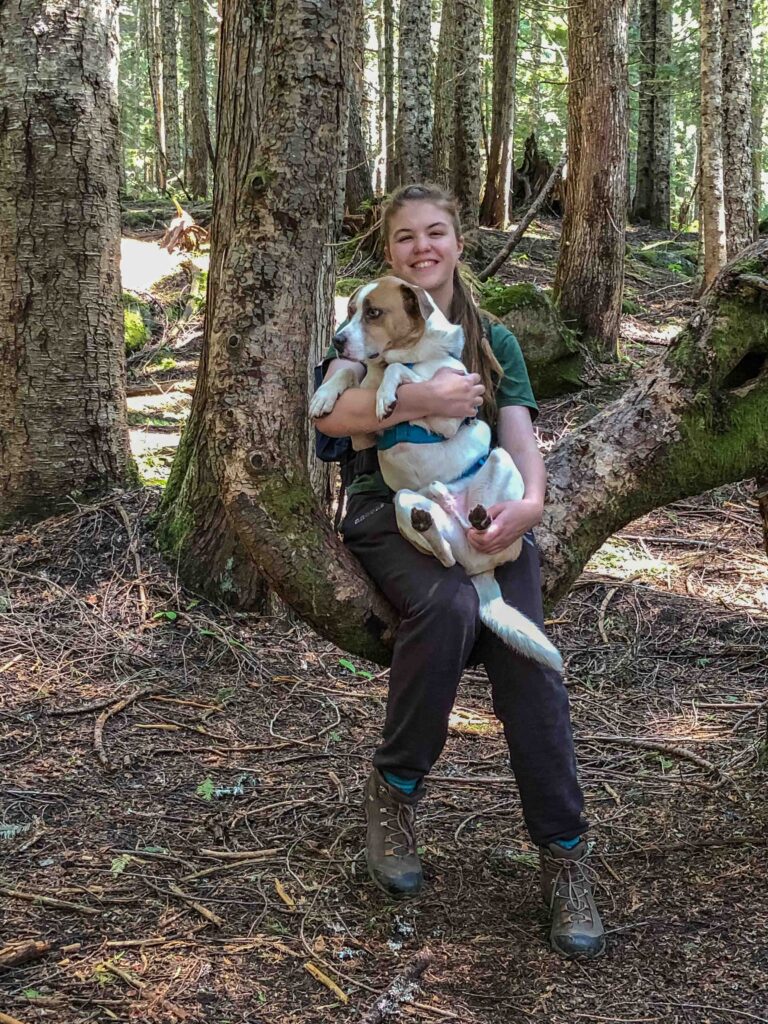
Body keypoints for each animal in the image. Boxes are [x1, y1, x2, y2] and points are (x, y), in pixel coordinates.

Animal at [313, 278, 565, 671]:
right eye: (351, 310)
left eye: (373, 312)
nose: (338, 341)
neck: (410, 353)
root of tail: (480, 572)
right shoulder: (362, 435)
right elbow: (349, 371)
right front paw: (324, 395)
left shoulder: (447, 414)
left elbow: (403, 377)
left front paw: (387, 394)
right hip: (408, 503)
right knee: (444, 552)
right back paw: (433, 508)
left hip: (501, 462)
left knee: (478, 525)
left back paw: (471, 514)